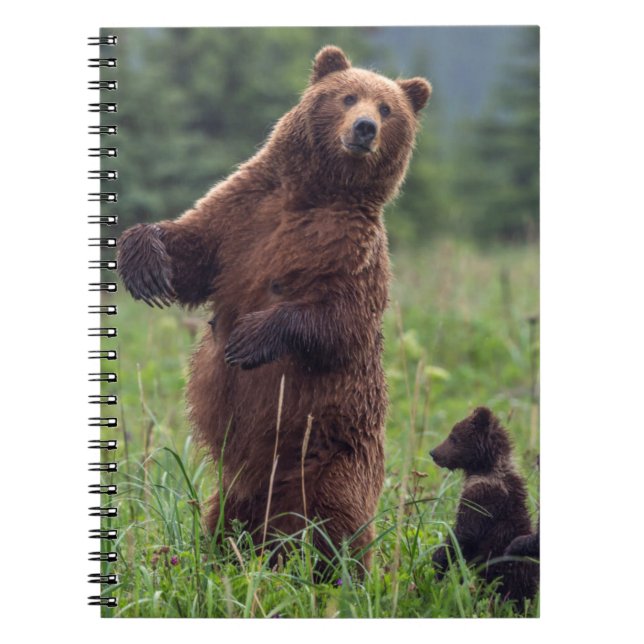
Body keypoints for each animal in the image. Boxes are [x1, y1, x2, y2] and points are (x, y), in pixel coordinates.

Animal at [117, 46, 431, 571]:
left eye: (388, 109)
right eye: (348, 96)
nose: (365, 127)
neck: (316, 192)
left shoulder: (353, 251)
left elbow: (342, 321)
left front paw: (250, 339)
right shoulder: (245, 213)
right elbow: (194, 249)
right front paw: (145, 262)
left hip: (336, 455)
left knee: (337, 521)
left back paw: (334, 570)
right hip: (238, 487)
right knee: (224, 518)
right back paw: (218, 557)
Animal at [429, 407, 539, 604]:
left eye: (453, 437)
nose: (433, 453)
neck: (485, 469)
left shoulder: (482, 499)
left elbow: (463, 534)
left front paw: (439, 562)